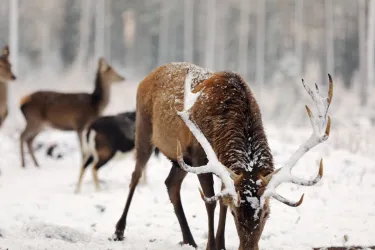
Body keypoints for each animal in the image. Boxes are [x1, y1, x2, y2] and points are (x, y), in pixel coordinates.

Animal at [111, 62, 334, 250]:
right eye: (237, 213)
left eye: (266, 214)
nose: (248, 248)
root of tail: (147, 77)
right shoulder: (201, 159)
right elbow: (211, 202)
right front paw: (212, 245)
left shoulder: (221, 167)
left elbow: (222, 202)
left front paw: (222, 245)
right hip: (143, 129)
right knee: (136, 175)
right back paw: (119, 230)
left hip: (180, 158)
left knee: (171, 184)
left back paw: (189, 239)